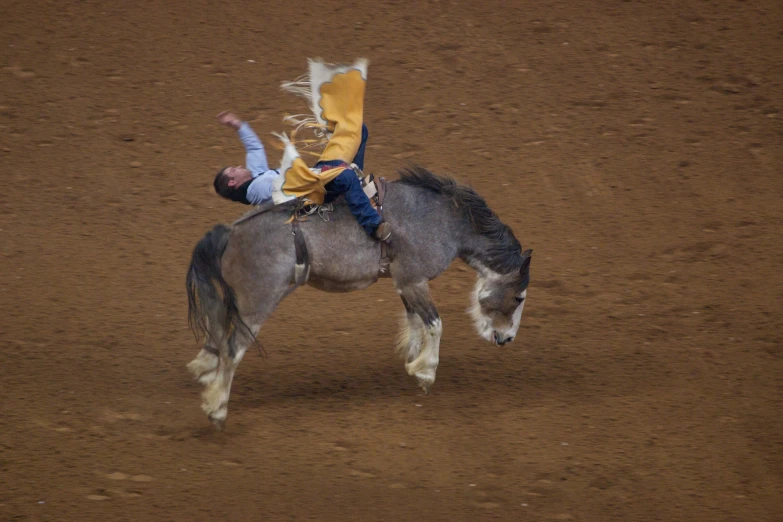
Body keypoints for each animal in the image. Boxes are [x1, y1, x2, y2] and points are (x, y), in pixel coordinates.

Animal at [185, 166, 532, 426]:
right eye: (519, 298)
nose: (508, 339)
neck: (443, 220)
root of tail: (231, 231)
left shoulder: (404, 282)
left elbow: (416, 323)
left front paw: (413, 362)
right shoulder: (414, 280)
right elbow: (434, 324)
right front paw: (425, 371)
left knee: (216, 336)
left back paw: (204, 370)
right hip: (257, 304)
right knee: (233, 349)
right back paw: (217, 408)